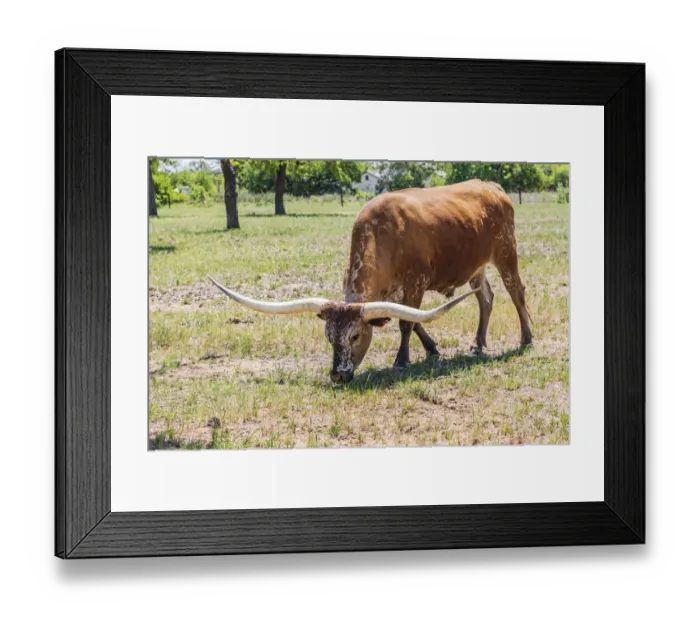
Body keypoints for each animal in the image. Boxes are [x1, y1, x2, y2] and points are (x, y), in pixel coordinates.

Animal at [209, 179, 533, 384]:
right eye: (329, 337)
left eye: (355, 336)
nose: (338, 375)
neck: (385, 234)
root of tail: (492, 187)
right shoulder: (393, 294)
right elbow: (414, 321)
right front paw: (431, 349)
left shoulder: (416, 283)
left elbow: (407, 323)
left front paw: (402, 360)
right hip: (476, 266)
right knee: (485, 298)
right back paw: (478, 344)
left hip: (506, 253)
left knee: (517, 293)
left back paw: (526, 339)